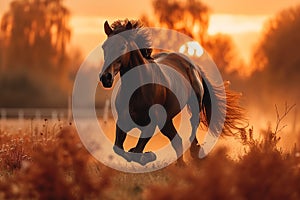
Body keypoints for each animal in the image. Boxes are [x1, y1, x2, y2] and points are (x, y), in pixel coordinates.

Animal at [98, 19, 244, 166]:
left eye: (123, 47)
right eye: (104, 47)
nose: (106, 77)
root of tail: (193, 65)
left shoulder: (151, 125)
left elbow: (137, 151)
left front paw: (148, 156)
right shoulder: (123, 122)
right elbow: (118, 149)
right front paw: (145, 155)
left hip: (193, 106)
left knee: (192, 126)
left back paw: (195, 152)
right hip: (167, 121)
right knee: (177, 141)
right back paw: (182, 165)